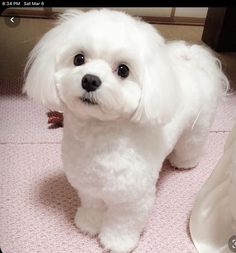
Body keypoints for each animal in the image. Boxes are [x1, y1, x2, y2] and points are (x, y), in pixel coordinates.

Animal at [23, 8, 230, 253]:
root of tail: (193, 60)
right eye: (79, 59)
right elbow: (93, 206)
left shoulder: (132, 199)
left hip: (197, 128)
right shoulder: (89, 187)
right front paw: (88, 224)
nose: (90, 80)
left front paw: (116, 242)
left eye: (123, 70)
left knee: (191, 145)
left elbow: (123, 222)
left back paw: (184, 162)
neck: (98, 138)